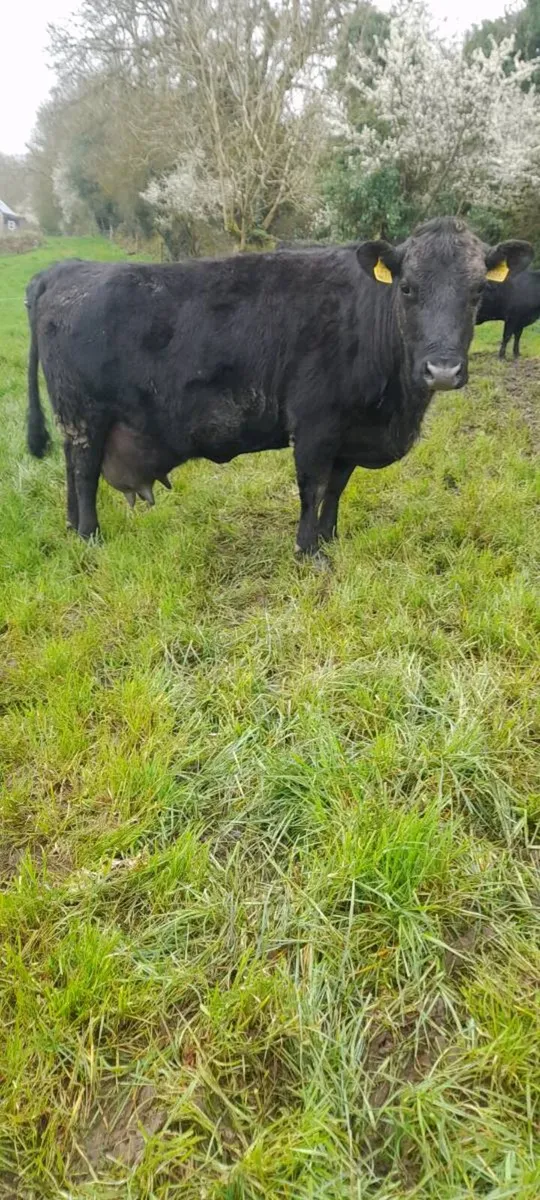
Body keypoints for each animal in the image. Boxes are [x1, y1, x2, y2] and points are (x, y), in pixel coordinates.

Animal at [26, 218, 532, 556]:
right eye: (407, 288)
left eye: (477, 292)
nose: (442, 370)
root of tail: (65, 270)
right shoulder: (314, 426)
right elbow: (312, 487)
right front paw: (309, 552)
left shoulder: (349, 434)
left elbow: (336, 489)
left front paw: (331, 539)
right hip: (84, 415)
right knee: (84, 473)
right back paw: (91, 537)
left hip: (76, 421)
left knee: (72, 470)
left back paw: (72, 527)